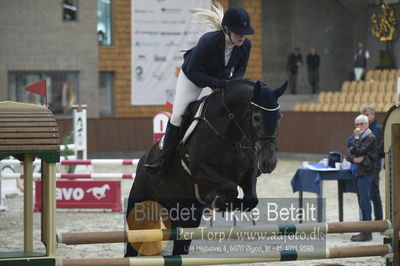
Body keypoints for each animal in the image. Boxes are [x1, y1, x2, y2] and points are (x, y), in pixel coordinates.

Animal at [126, 78, 286, 256]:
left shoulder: (248, 170)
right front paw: (217, 201)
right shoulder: (199, 169)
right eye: (256, 117)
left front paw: (223, 202)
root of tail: (144, 159)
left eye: (280, 117)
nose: (269, 163)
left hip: (185, 218)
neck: (231, 135)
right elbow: (230, 187)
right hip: (140, 209)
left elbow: (251, 199)